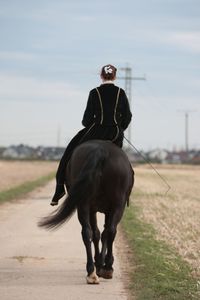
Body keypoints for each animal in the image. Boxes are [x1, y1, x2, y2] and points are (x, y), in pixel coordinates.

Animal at [38, 139, 134, 284]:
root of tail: (101, 150)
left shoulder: (94, 209)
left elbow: (97, 234)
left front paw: (99, 264)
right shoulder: (103, 210)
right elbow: (102, 233)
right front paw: (102, 265)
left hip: (84, 204)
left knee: (87, 232)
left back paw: (91, 272)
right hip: (117, 205)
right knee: (110, 231)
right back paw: (105, 268)